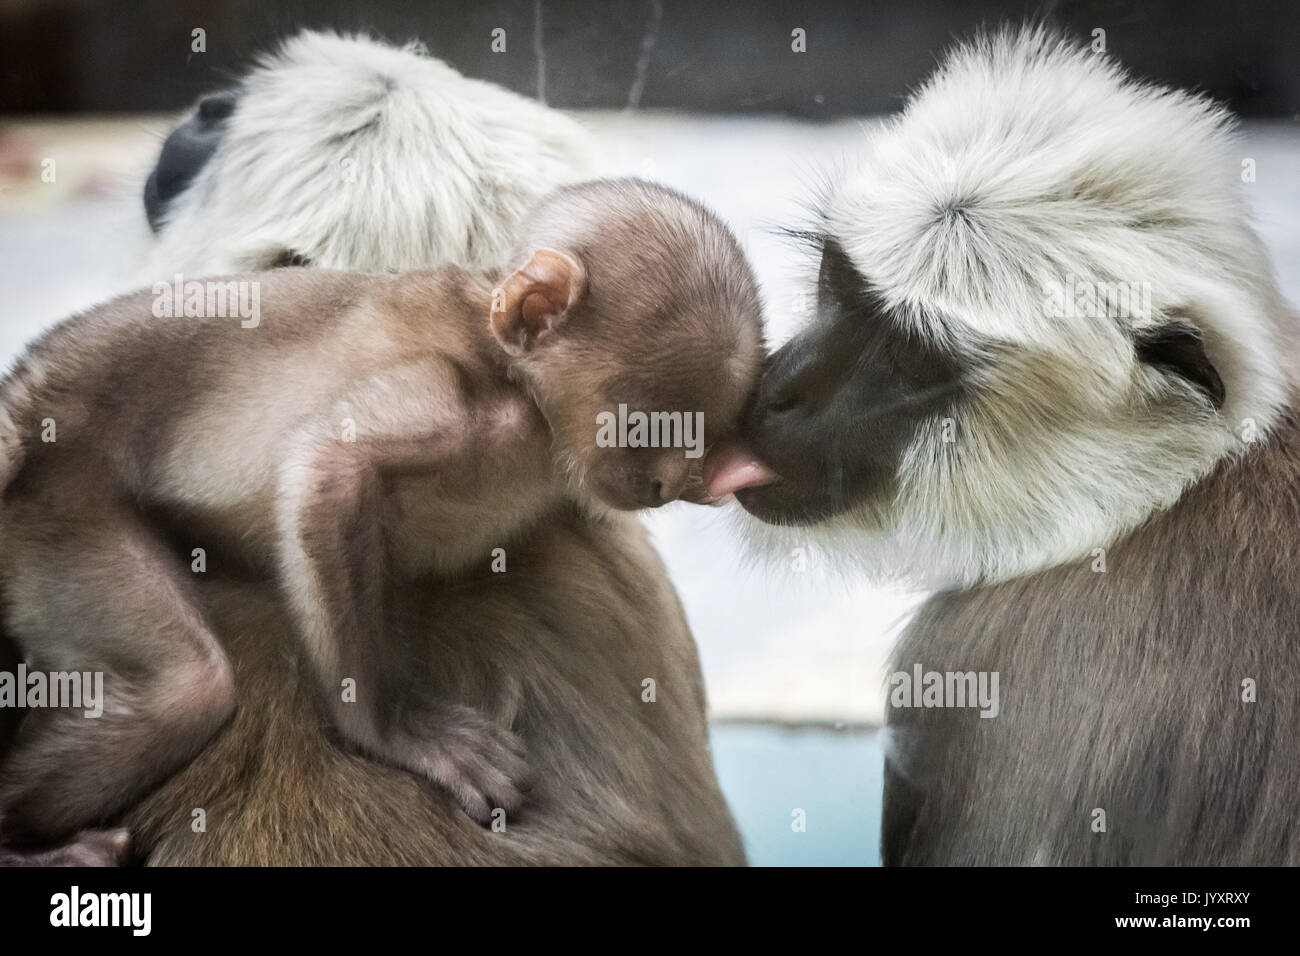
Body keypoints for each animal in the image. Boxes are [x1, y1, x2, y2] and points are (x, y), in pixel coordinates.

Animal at [0, 27, 748, 868]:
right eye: (652, 423)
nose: (673, 479)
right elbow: (327, 468)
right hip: (63, 501)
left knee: (184, 689)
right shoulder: (465, 407)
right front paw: (389, 728)